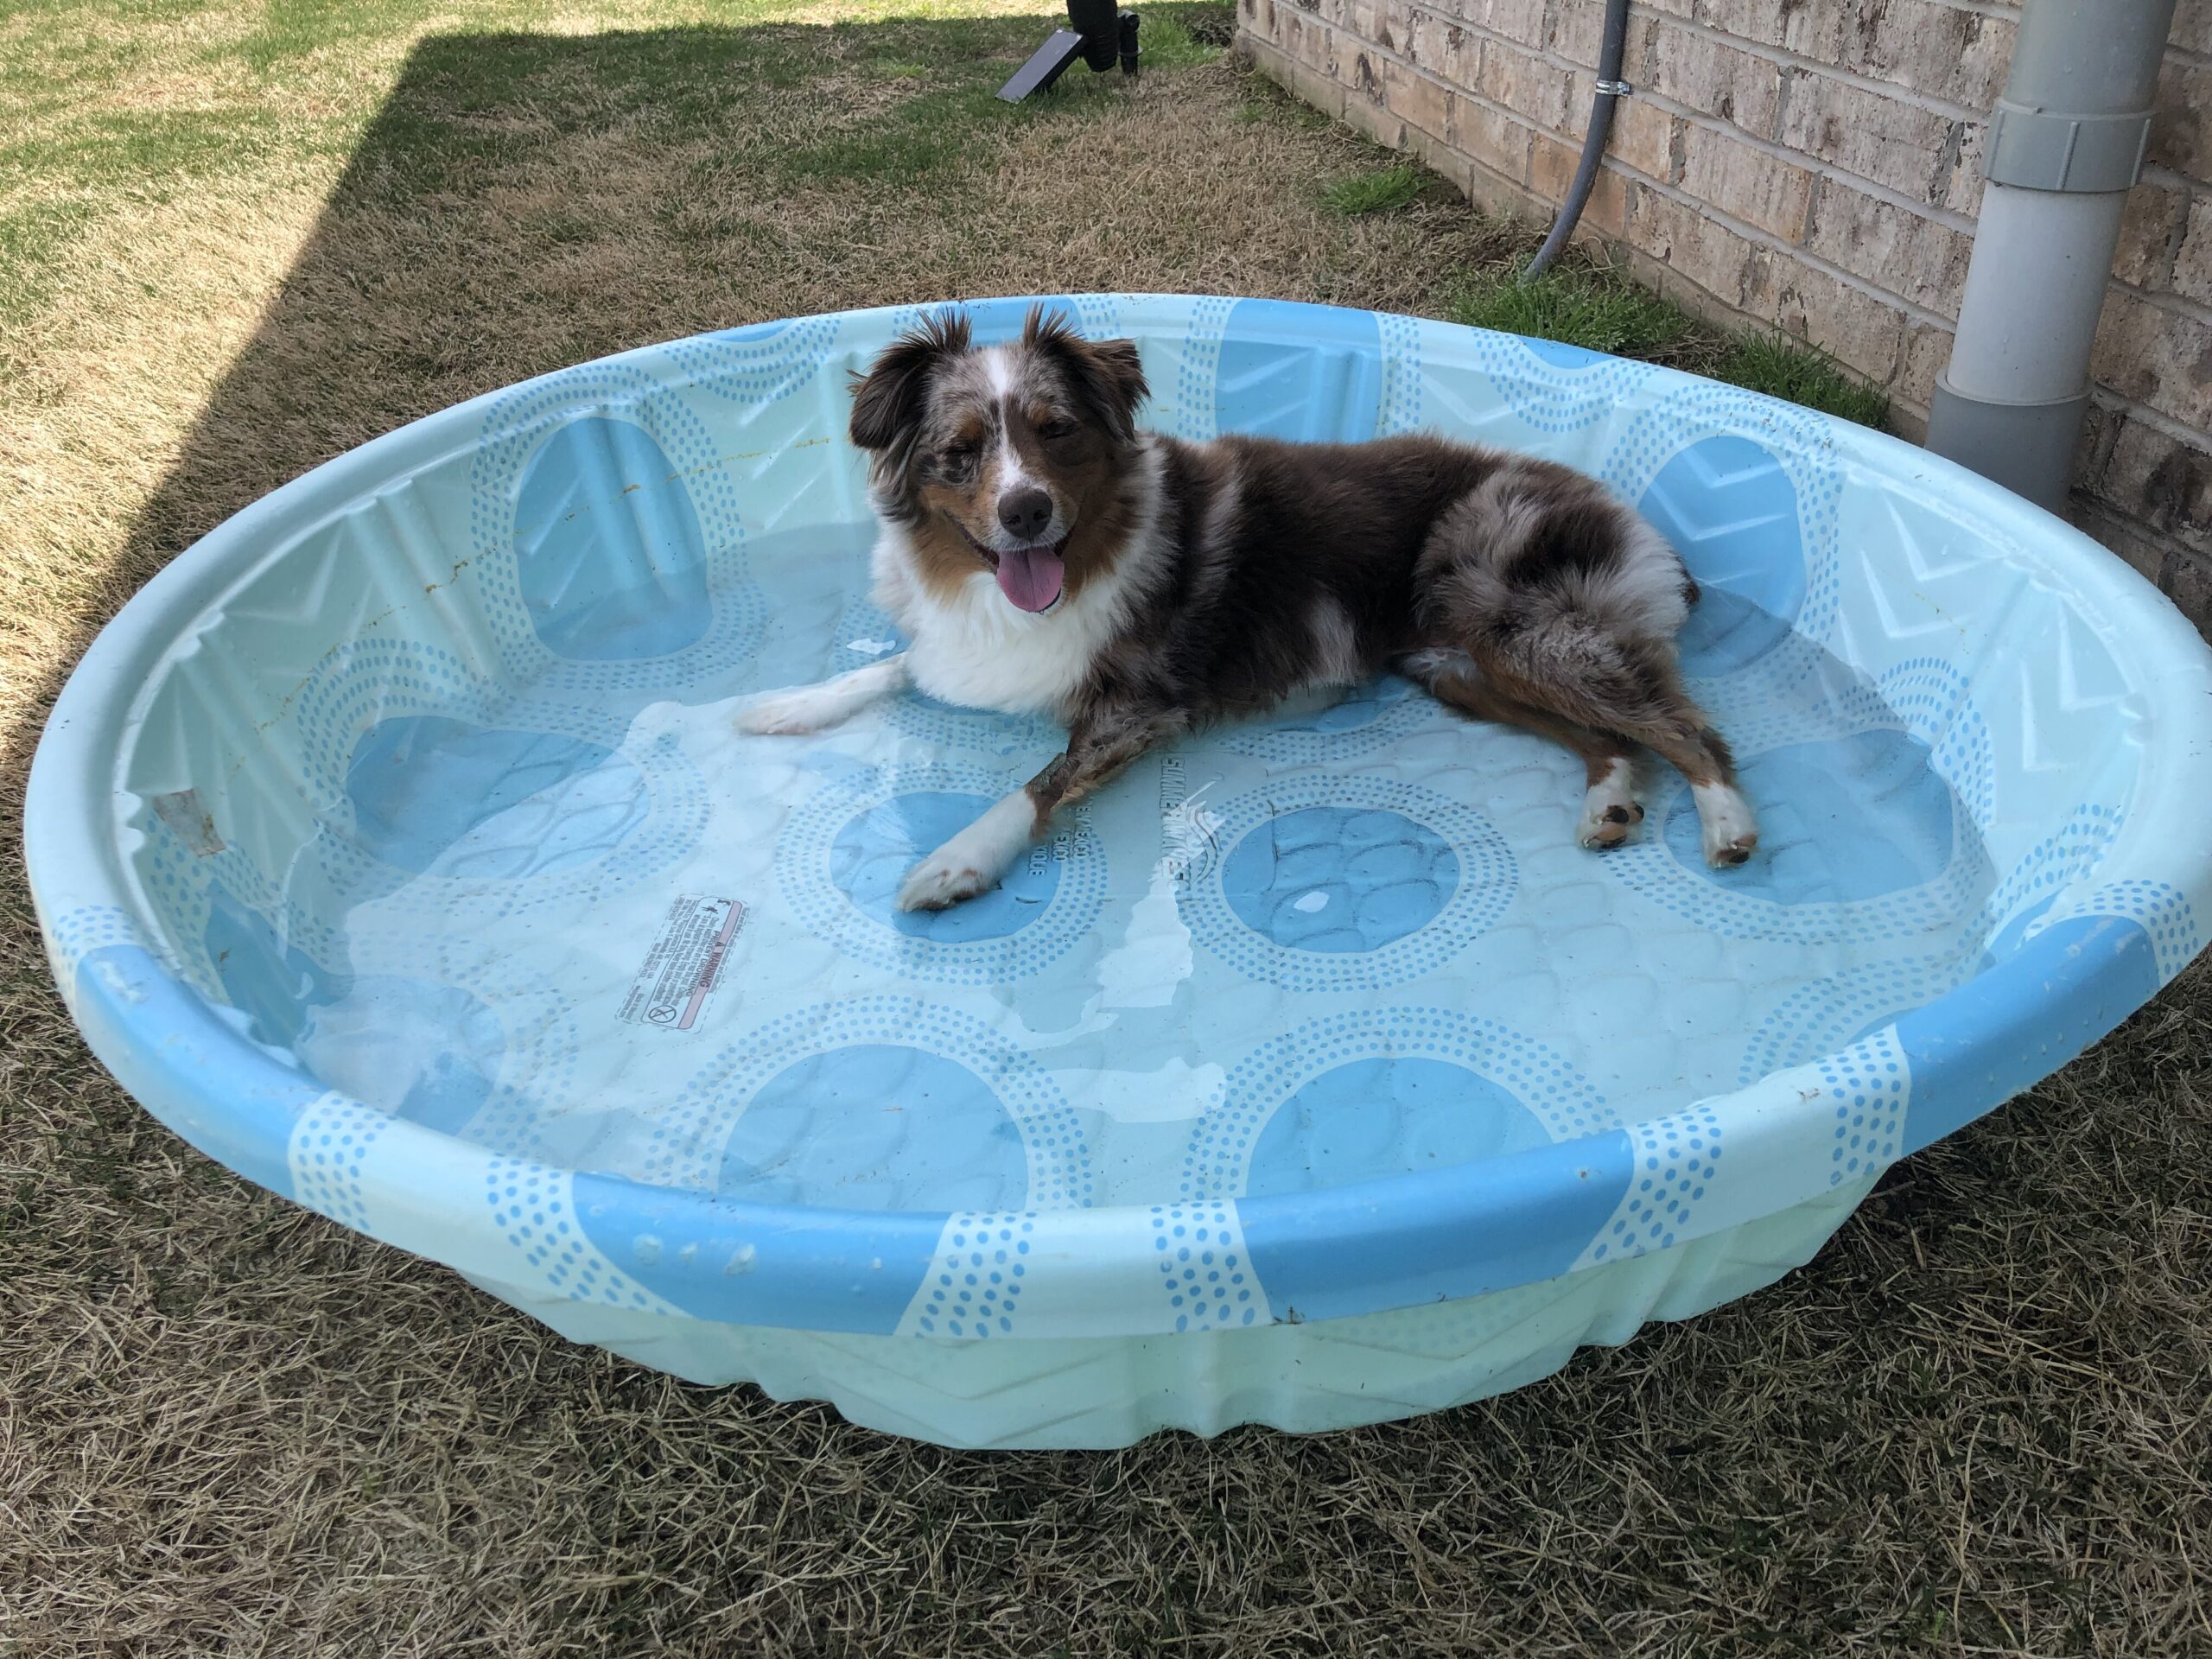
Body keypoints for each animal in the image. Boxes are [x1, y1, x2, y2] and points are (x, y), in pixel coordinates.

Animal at [743, 305, 1760, 915]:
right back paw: (1611, 801)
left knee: (1690, 729)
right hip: (1456, 670)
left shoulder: (1140, 706)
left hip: (1509, 621)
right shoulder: (961, 648)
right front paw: (784, 706)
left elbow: (1036, 784)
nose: (1025, 511)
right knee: (1612, 738)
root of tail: (1627, 512)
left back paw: (1726, 824)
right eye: (959, 452)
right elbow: (897, 664)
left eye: (1055, 432)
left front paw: (957, 859)